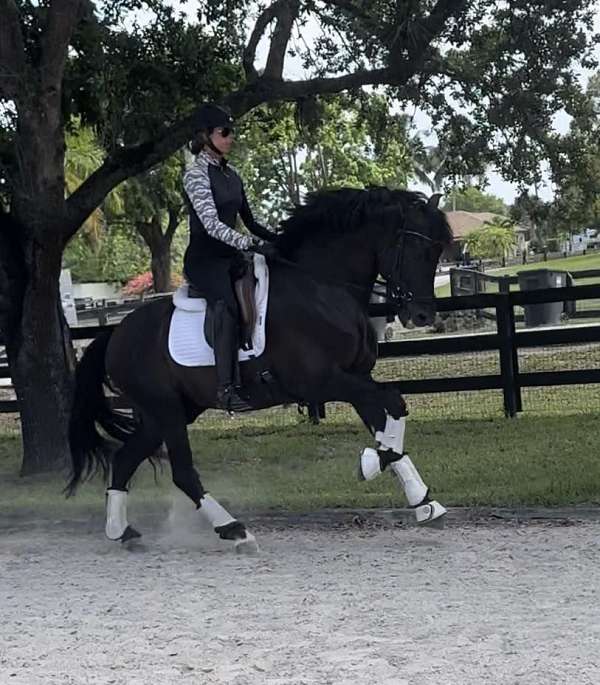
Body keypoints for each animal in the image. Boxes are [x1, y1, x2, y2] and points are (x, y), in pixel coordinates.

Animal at [67, 186, 453, 552]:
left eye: (438, 251)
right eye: (417, 249)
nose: (423, 315)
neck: (320, 287)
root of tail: (114, 335)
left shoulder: (356, 378)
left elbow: (388, 412)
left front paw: (420, 499)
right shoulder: (321, 382)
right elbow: (393, 402)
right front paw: (373, 464)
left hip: (165, 413)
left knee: (125, 460)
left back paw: (122, 532)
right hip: (167, 411)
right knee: (182, 472)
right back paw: (234, 531)